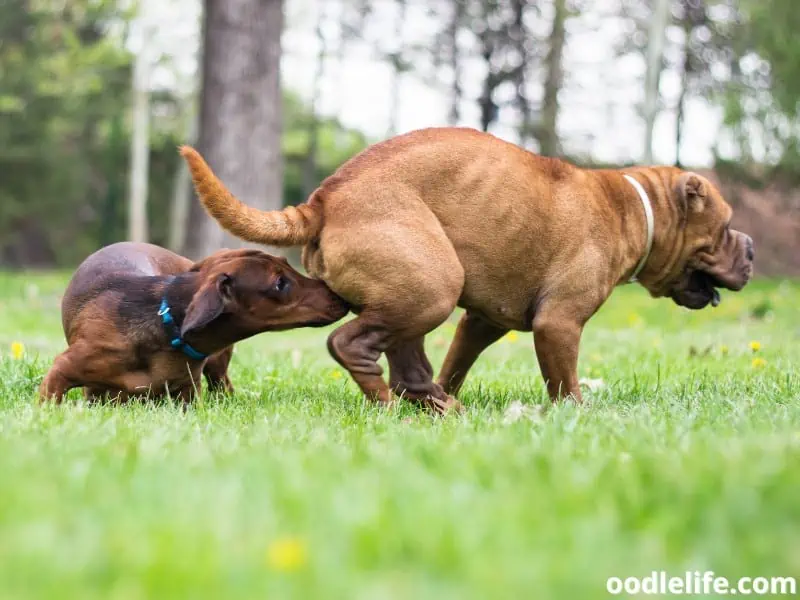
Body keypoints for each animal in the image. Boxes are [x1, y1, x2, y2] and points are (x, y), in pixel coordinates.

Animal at [39, 243, 346, 404]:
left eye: (287, 263)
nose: (339, 295)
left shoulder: (187, 394)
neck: (166, 331)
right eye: (280, 283)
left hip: (218, 365)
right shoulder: (62, 370)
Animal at [180, 127, 752, 412]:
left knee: (408, 362)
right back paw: (387, 404)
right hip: (432, 284)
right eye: (726, 227)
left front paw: (450, 388)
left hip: (416, 293)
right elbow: (564, 381)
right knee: (352, 345)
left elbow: (457, 361)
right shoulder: (559, 324)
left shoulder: (483, 321)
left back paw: (436, 404)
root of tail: (324, 199)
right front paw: (577, 415)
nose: (749, 249)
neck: (635, 207)